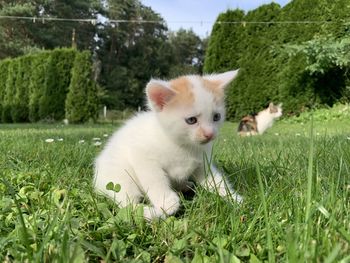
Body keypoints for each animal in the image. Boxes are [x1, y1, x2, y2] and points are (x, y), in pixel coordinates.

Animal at [94, 70, 245, 221]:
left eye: (216, 117)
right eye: (191, 120)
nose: (210, 134)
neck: (183, 145)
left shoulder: (202, 163)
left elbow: (216, 181)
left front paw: (235, 199)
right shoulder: (142, 156)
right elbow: (155, 179)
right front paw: (166, 204)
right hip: (119, 176)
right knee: (127, 203)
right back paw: (147, 212)